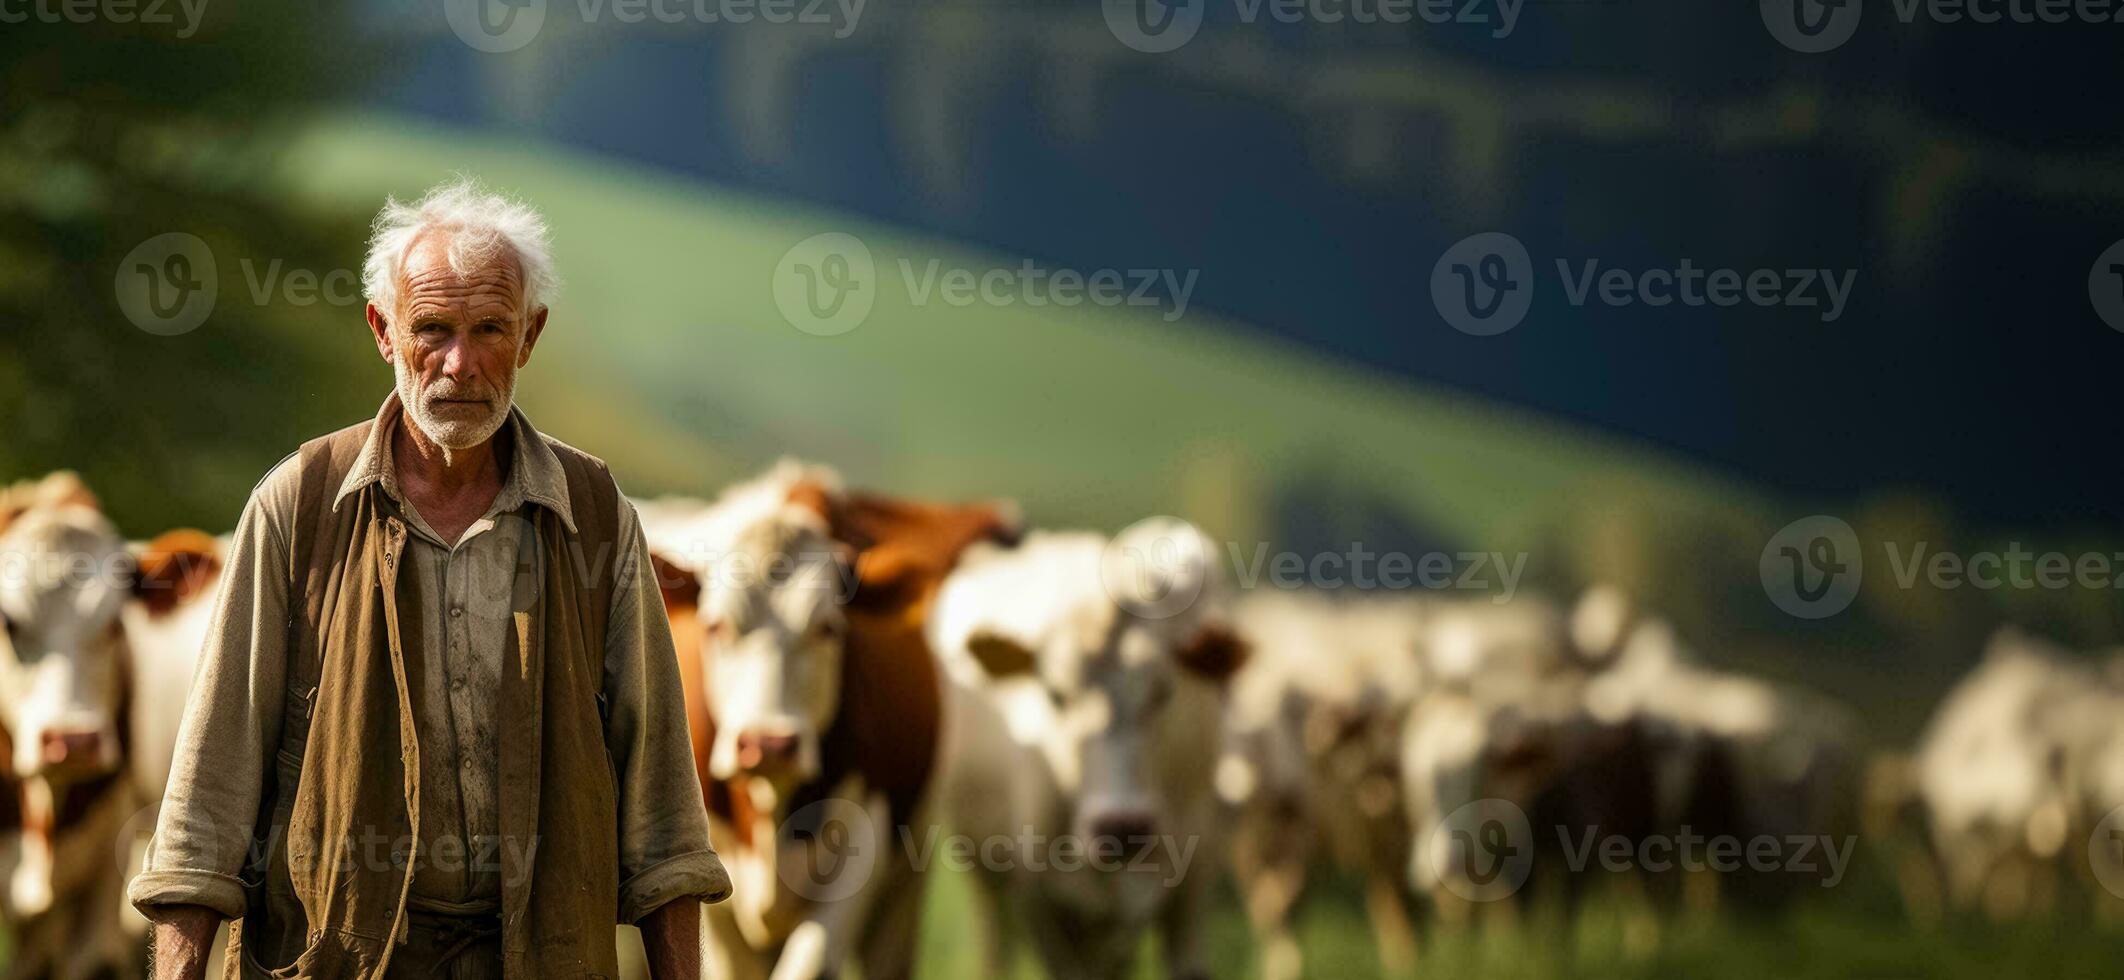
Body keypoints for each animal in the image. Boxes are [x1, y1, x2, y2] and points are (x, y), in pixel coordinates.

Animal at [930, 518, 1240, 977]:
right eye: (1055, 695)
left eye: (1163, 692)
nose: (1122, 827)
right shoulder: (1039, 900)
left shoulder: (1193, 889)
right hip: (982, 870)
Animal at [1214, 586, 1427, 977]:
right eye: (1245, 725)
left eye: (1296, 713)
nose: (1286, 787)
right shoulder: (1244, 846)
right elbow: (1267, 909)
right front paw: (1277, 965)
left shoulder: (1306, 831)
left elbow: (1287, 903)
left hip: (1398, 825)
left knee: (1398, 901)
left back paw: (1407, 960)